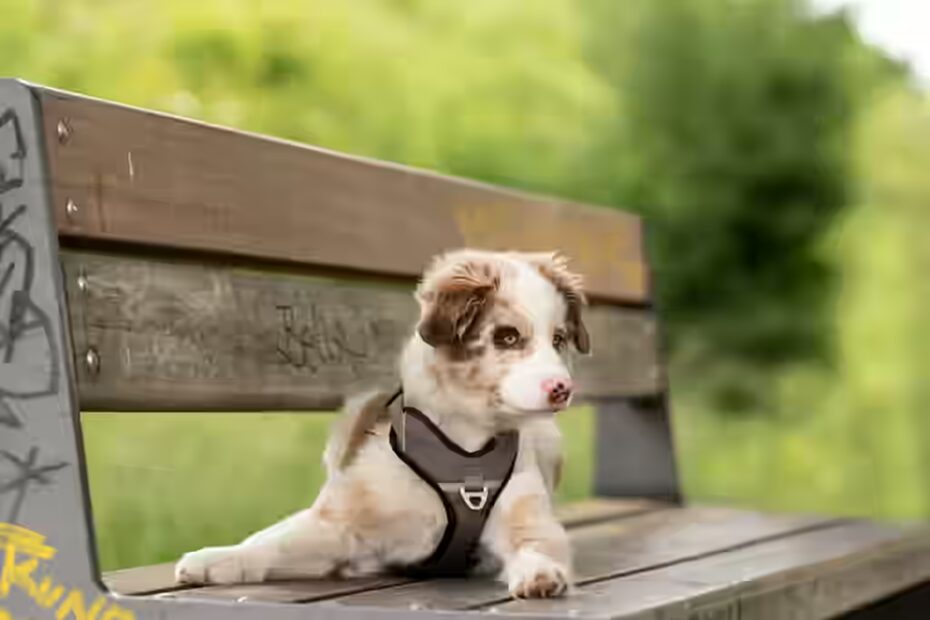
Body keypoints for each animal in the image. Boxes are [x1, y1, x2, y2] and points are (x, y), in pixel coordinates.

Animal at [174, 249, 588, 600]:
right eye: (507, 337)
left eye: (559, 339)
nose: (562, 389)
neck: (463, 442)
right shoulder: (343, 527)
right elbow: (274, 545)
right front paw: (217, 560)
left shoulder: (527, 512)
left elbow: (536, 544)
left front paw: (540, 573)